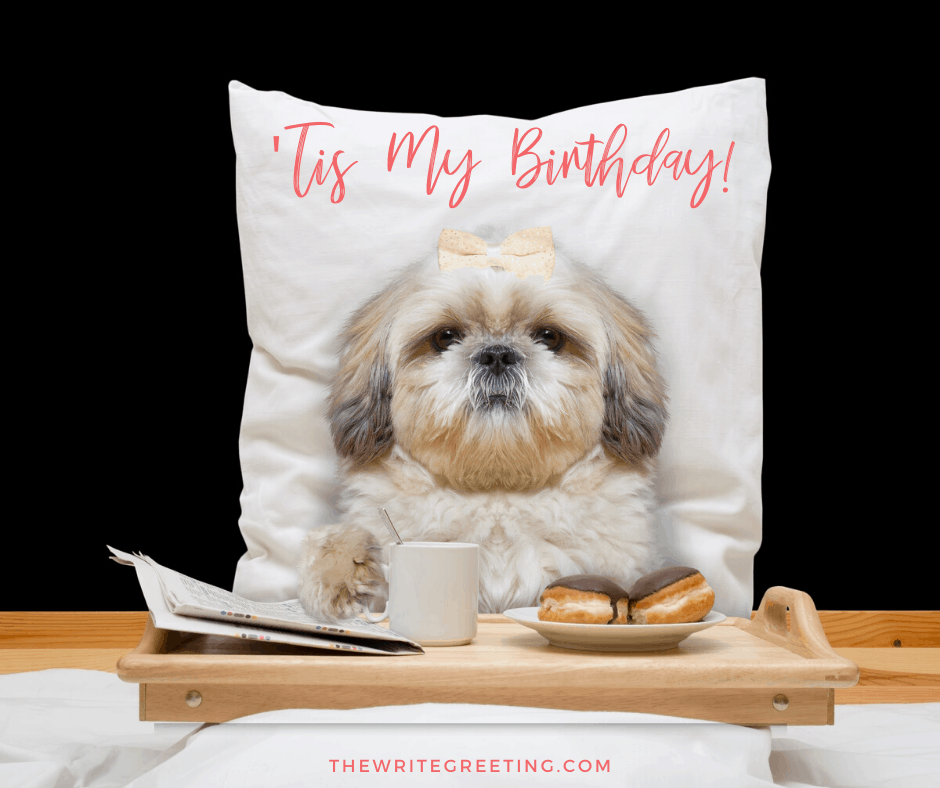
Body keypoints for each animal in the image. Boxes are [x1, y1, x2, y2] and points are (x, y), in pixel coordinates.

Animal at [298, 234, 664, 620]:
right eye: (445, 337)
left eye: (549, 336)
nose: (497, 354)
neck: (496, 498)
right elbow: (331, 544)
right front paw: (344, 575)